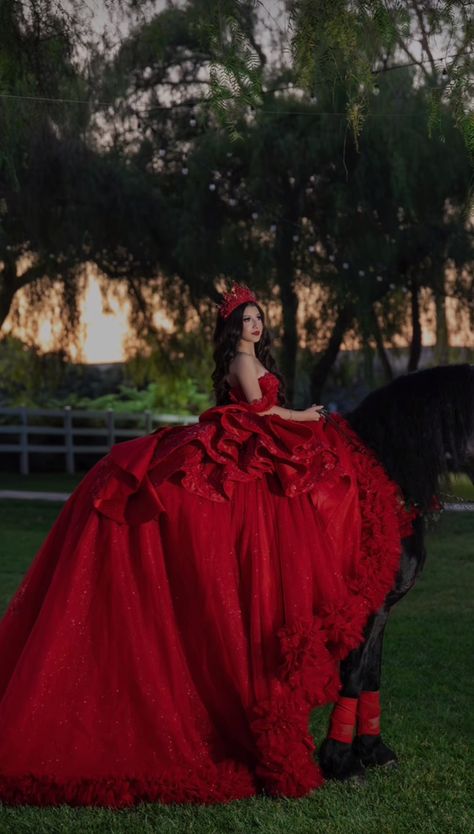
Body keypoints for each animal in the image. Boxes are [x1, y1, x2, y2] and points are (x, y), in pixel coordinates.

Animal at [318, 364, 474, 780]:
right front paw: (342, 763)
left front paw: (373, 750)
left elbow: (372, 673)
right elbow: (353, 675)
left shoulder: (383, 609)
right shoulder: (364, 610)